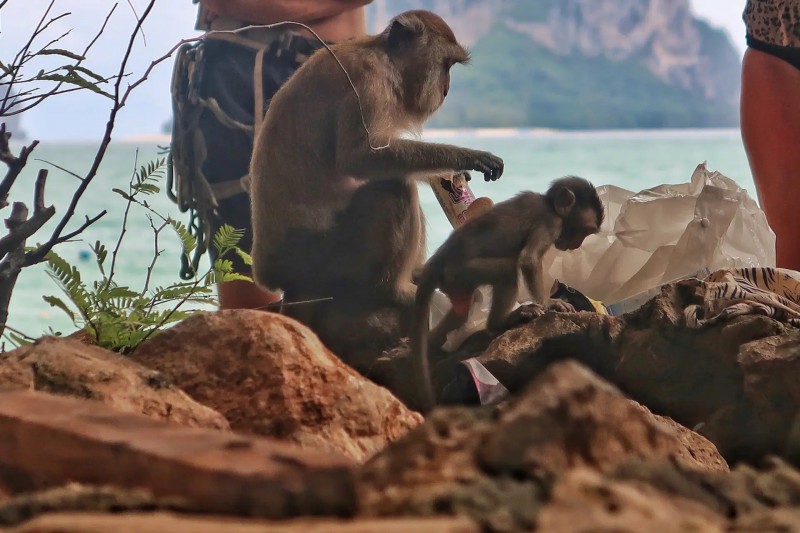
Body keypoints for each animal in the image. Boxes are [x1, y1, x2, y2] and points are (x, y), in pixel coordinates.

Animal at [250, 8, 504, 326]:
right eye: (445, 65)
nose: (446, 90)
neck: (383, 55)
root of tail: (277, 278)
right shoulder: (369, 82)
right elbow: (359, 158)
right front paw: (467, 157)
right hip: (322, 260)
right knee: (393, 188)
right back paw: (394, 291)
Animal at [412, 176, 608, 412]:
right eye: (585, 230)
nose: (576, 245)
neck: (550, 205)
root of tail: (436, 262)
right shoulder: (551, 223)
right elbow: (528, 260)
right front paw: (549, 303)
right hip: (461, 272)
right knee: (506, 271)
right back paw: (501, 321)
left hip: (455, 283)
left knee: (460, 312)